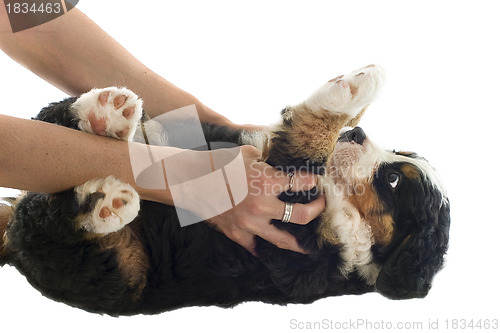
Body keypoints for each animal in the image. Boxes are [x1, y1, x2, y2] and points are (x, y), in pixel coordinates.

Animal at [0, 64, 452, 314]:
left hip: (116, 273)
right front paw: (357, 92)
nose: (356, 135)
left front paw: (352, 95)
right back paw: (105, 115)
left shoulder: (293, 241)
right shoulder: (245, 142)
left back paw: (104, 202)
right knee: (51, 120)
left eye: (393, 181)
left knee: (56, 229)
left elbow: (305, 148)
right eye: (399, 154)